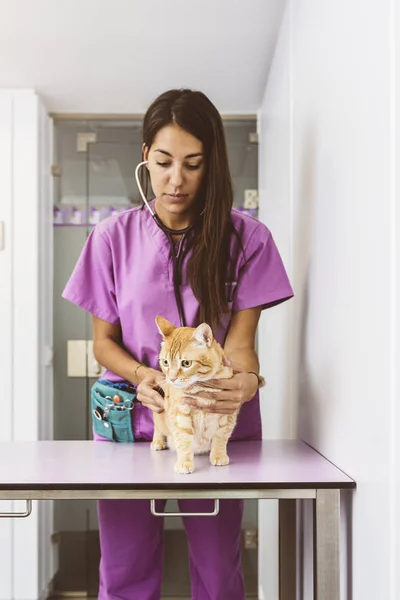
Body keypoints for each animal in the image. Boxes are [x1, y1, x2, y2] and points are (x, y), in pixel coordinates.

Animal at [150, 314, 238, 474]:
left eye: (186, 363)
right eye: (165, 362)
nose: (171, 379)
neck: (201, 387)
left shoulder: (227, 414)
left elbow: (221, 437)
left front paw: (218, 455)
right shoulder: (180, 415)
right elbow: (183, 440)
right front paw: (184, 463)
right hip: (160, 418)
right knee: (157, 427)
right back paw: (158, 442)